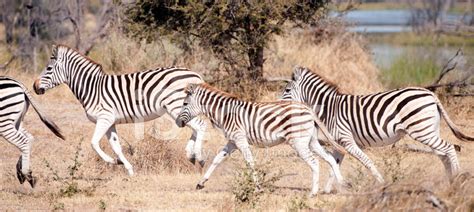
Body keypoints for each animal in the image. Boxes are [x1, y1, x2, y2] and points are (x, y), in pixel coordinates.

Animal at [34, 45, 208, 176]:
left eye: (49, 68)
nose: (34, 87)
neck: (92, 88)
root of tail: (194, 74)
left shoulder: (104, 118)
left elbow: (94, 143)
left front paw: (112, 161)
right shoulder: (110, 122)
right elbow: (116, 147)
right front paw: (129, 169)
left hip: (176, 106)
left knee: (201, 126)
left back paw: (199, 157)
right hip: (181, 109)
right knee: (196, 128)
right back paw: (190, 154)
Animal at [174, 82, 348, 195]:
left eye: (184, 103)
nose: (177, 122)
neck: (225, 113)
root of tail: (308, 109)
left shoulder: (240, 139)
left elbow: (250, 162)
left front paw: (258, 188)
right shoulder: (232, 142)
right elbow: (217, 159)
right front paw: (201, 183)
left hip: (298, 142)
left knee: (314, 162)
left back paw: (313, 192)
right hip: (310, 141)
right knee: (330, 159)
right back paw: (343, 184)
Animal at [282, 67, 474, 193]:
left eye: (287, 89)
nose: (278, 103)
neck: (330, 109)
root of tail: (431, 94)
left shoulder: (347, 140)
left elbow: (367, 162)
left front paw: (382, 183)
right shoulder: (340, 143)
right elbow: (333, 164)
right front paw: (328, 190)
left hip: (422, 131)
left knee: (449, 148)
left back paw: (457, 179)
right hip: (429, 130)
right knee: (443, 153)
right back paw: (450, 182)